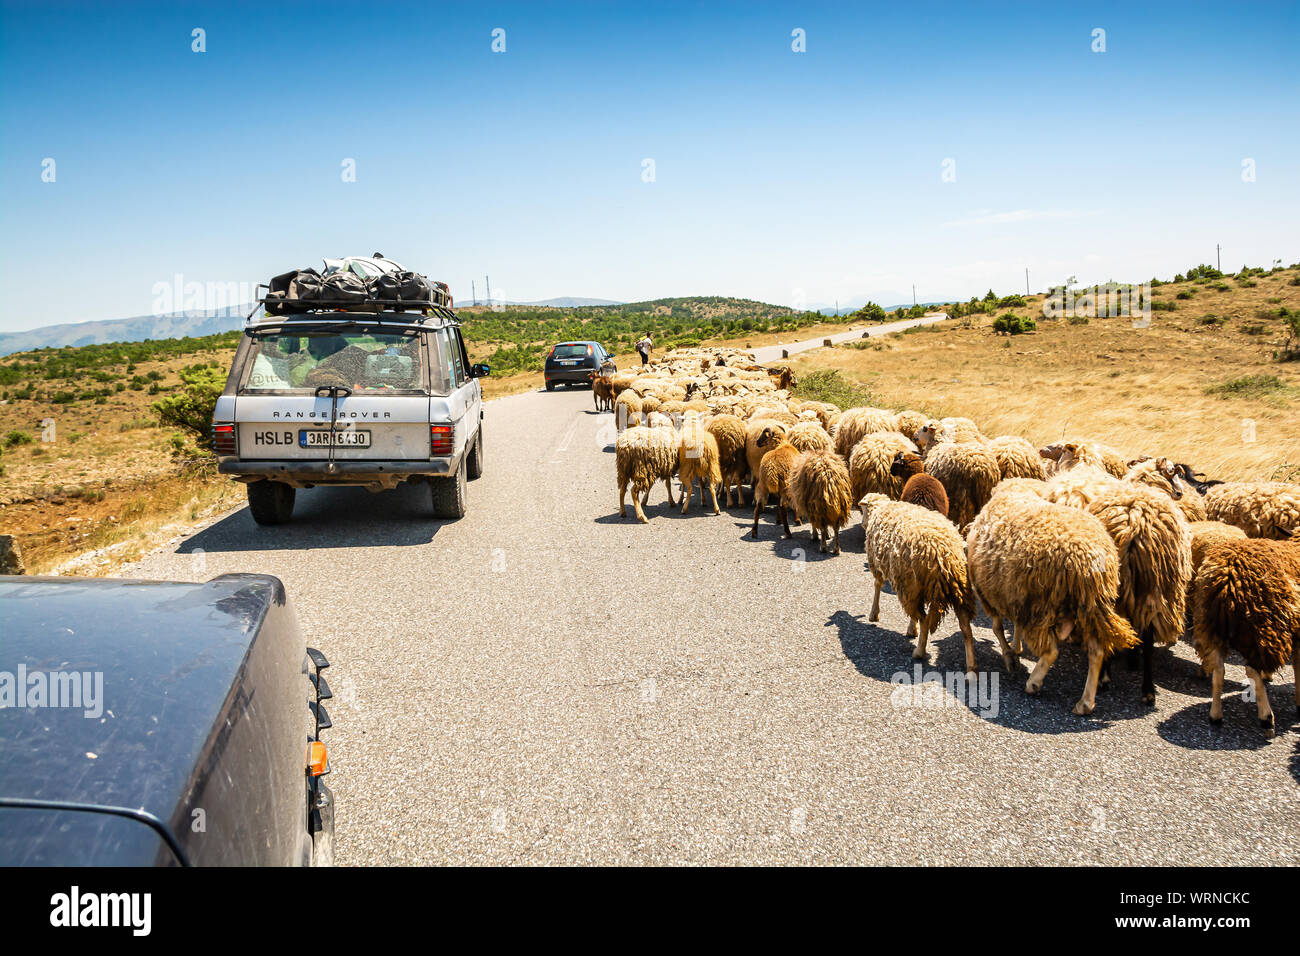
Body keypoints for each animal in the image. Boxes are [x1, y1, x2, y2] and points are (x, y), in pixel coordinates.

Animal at [860, 494, 979, 673]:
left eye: (863, 510)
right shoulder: (912, 587)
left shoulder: (878, 564)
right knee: (966, 628)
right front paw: (910, 629)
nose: (861, 524)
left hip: (911, 584)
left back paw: (919, 652)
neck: (880, 509)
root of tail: (944, 554)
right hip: (958, 587)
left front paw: (874, 614)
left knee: (925, 620)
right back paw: (971, 668)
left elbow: (877, 586)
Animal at [966, 480, 1139, 715]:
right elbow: (1014, 626)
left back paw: (1034, 682)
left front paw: (1010, 656)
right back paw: (1085, 703)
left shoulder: (990, 594)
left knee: (1051, 652)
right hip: (1088, 607)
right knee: (1096, 652)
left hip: (1043, 605)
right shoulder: (1015, 596)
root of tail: (1091, 561)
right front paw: (1016, 649)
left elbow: (997, 628)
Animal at [1192, 537, 1300, 736]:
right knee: (1250, 668)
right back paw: (1266, 718)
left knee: (1219, 670)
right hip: (1265, 625)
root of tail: (1227, 576)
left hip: (1210, 626)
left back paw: (1215, 715)